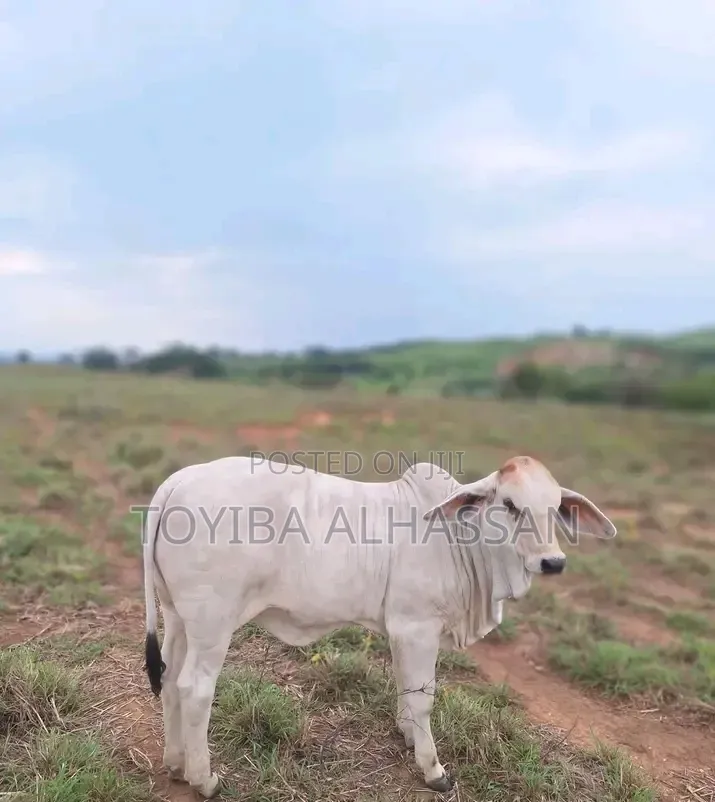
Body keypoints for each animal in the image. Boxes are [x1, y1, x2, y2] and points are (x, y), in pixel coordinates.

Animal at [142, 454, 616, 797]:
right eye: (510, 504)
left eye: (555, 508)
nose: (552, 562)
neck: (459, 538)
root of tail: (176, 482)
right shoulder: (417, 627)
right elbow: (423, 699)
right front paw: (433, 769)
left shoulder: (403, 631)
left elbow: (407, 690)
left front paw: (407, 736)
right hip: (213, 623)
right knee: (195, 689)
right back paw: (204, 779)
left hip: (178, 618)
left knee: (169, 678)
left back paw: (175, 762)